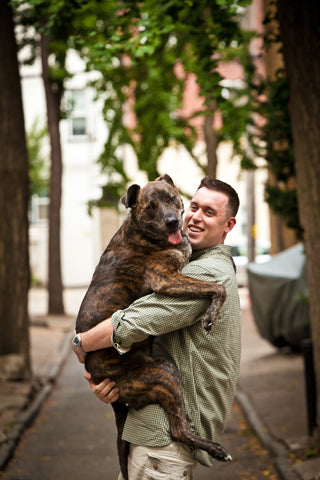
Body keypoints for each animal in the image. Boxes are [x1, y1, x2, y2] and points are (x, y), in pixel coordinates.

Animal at [75, 174, 230, 478]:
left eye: (172, 198)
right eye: (150, 207)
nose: (172, 221)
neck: (142, 233)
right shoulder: (165, 279)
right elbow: (218, 287)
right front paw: (210, 316)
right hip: (164, 372)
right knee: (179, 430)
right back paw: (216, 449)